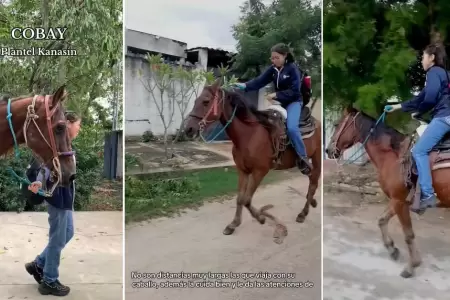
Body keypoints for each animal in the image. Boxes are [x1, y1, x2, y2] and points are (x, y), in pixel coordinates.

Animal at [185, 79, 322, 244]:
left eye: (206, 101)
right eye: (195, 101)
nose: (188, 129)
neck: (249, 135)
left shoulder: (259, 171)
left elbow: (247, 199)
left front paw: (261, 218)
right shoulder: (242, 170)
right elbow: (240, 198)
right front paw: (233, 224)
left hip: (317, 158)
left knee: (313, 183)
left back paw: (303, 213)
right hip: (304, 165)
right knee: (311, 180)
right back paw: (311, 203)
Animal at [326, 106, 450, 278]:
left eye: (337, 124)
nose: (328, 150)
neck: (393, 157)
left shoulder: (399, 201)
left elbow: (408, 234)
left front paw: (411, 266)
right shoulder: (397, 200)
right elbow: (382, 220)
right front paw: (392, 249)